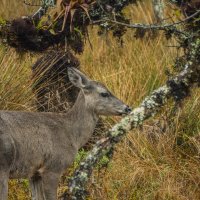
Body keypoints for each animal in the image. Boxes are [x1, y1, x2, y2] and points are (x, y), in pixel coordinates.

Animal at [0, 67, 131, 200]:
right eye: (104, 93)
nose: (127, 108)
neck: (72, 134)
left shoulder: (34, 173)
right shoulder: (53, 167)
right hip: (4, 165)